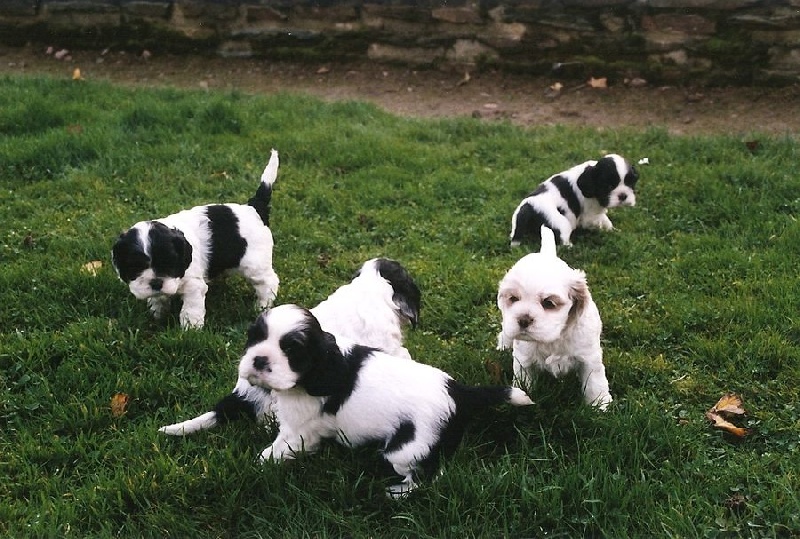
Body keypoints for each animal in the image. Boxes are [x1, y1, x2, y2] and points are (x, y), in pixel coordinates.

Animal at [111, 150, 282, 332]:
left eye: (170, 264)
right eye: (136, 267)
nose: (156, 282)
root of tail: (254, 208)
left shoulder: (194, 285)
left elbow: (190, 309)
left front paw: (190, 329)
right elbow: (158, 300)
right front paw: (156, 314)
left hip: (254, 264)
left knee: (269, 281)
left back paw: (262, 306)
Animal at [241, 304, 536, 498]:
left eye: (292, 350)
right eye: (254, 337)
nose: (259, 360)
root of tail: (458, 391)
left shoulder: (298, 430)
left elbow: (273, 451)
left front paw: (257, 466)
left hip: (406, 450)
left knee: (427, 476)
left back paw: (398, 492)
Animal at [494, 227, 612, 410]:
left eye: (548, 303)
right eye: (513, 298)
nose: (523, 320)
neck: (553, 338)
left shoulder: (589, 356)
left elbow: (595, 381)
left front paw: (599, 405)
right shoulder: (524, 358)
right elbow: (524, 380)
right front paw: (523, 397)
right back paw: (503, 345)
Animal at [510, 154, 640, 247]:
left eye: (630, 183)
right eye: (608, 186)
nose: (623, 196)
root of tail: (528, 206)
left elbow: (606, 221)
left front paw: (613, 231)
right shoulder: (590, 215)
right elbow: (602, 219)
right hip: (561, 223)